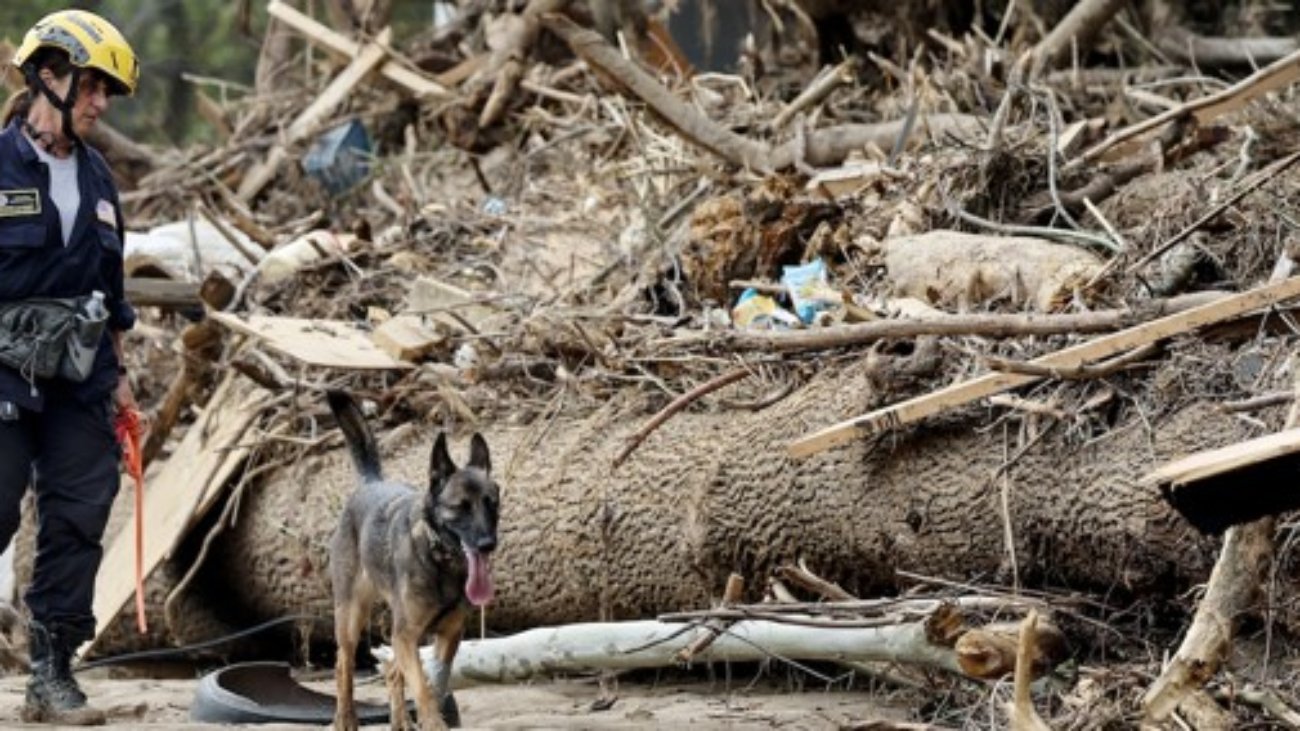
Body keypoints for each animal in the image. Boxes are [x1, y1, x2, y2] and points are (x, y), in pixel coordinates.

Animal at [327, 390, 499, 723]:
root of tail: (371, 482)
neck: (440, 560)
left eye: (492, 503)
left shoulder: (446, 636)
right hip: (352, 619)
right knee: (343, 668)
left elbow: (434, 683)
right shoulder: (405, 636)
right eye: (461, 507)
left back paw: (400, 724)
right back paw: (346, 721)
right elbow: (422, 690)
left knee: (393, 672)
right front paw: (434, 722)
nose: (487, 544)